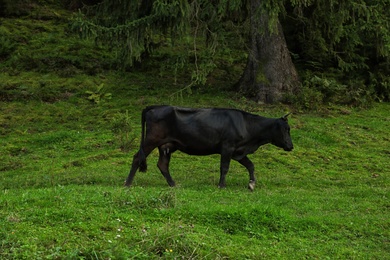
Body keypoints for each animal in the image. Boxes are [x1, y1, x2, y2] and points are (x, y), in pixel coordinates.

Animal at [125, 104, 292, 190]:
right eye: (286, 129)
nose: (291, 146)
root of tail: (155, 107)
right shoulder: (227, 147)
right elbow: (224, 167)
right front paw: (221, 185)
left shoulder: (238, 151)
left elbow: (250, 165)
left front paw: (251, 184)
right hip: (151, 140)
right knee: (137, 157)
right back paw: (127, 183)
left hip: (166, 145)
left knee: (162, 164)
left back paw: (173, 184)